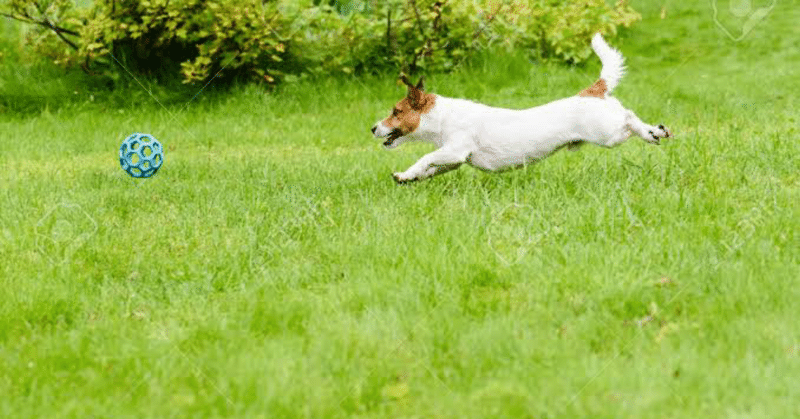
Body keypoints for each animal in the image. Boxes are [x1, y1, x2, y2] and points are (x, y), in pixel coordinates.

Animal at [372, 32, 672, 184]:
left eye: (396, 112)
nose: (373, 128)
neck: (444, 117)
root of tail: (591, 91)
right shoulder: (454, 160)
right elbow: (429, 168)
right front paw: (407, 177)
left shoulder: (455, 149)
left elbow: (425, 158)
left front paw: (410, 172)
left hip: (608, 133)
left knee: (630, 119)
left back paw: (654, 132)